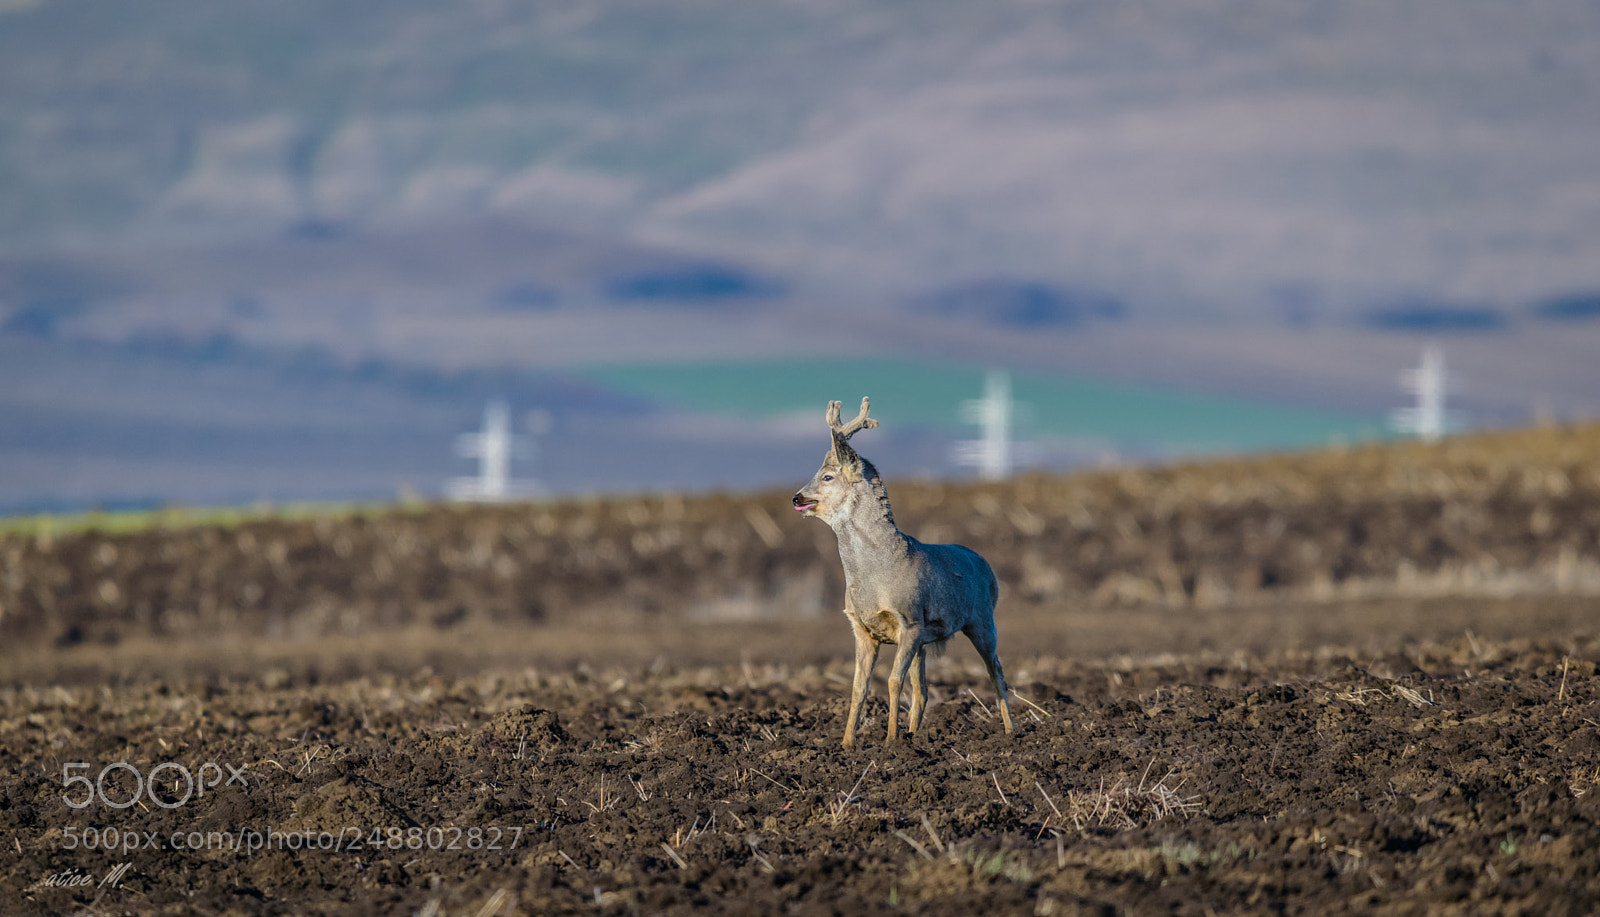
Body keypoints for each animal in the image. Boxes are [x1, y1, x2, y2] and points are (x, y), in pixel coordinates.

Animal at [791, 397, 1015, 747]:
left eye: (826, 476)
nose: (796, 497)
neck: (876, 575)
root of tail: (986, 564)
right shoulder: (862, 629)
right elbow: (859, 687)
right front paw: (847, 743)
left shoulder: (908, 621)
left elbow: (893, 682)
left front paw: (890, 740)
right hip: (927, 640)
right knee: (922, 690)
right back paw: (914, 734)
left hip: (981, 621)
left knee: (997, 672)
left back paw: (1009, 731)